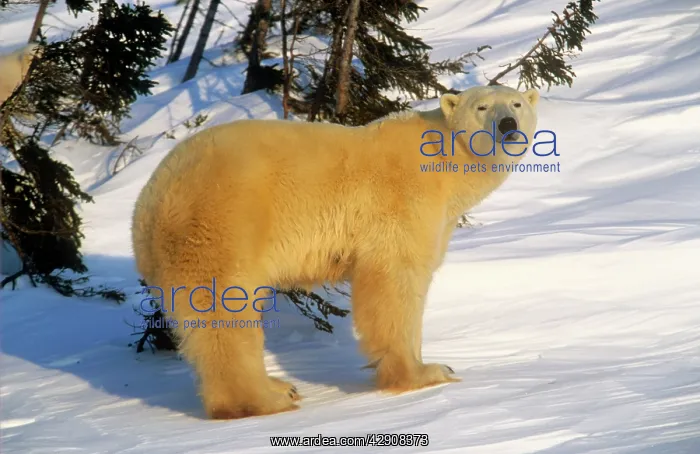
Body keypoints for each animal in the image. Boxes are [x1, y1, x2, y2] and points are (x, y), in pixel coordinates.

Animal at [131, 84, 540, 420]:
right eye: (482, 106)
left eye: (517, 103)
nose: (508, 125)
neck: (443, 163)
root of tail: (151, 200)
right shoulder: (401, 203)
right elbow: (394, 280)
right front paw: (426, 373)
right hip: (224, 223)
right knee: (225, 312)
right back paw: (266, 399)